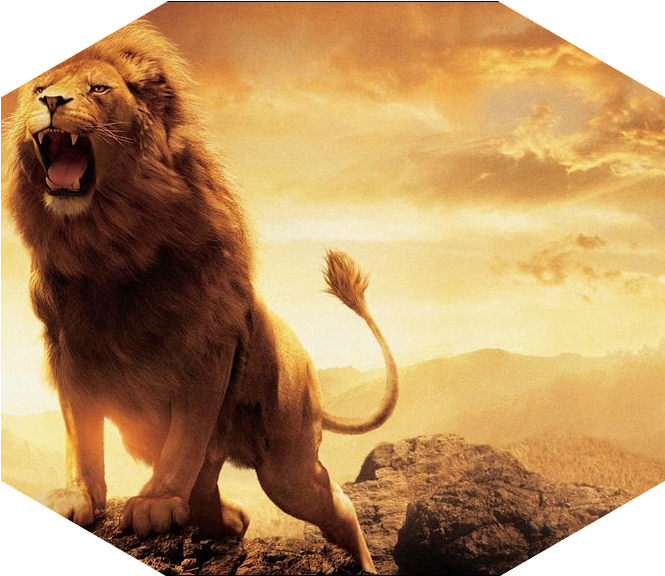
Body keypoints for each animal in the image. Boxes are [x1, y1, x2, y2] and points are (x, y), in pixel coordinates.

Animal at [4, 21, 398, 573]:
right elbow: (81, 433)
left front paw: (154, 503)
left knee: (332, 503)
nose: (53, 101)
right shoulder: (68, 347)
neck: (108, 245)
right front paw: (77, 496)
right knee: (212, 494)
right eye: (41, 89)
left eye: (99, 90)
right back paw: (231, 518)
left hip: (287, 465)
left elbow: (186, 435)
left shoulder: (207, 345)